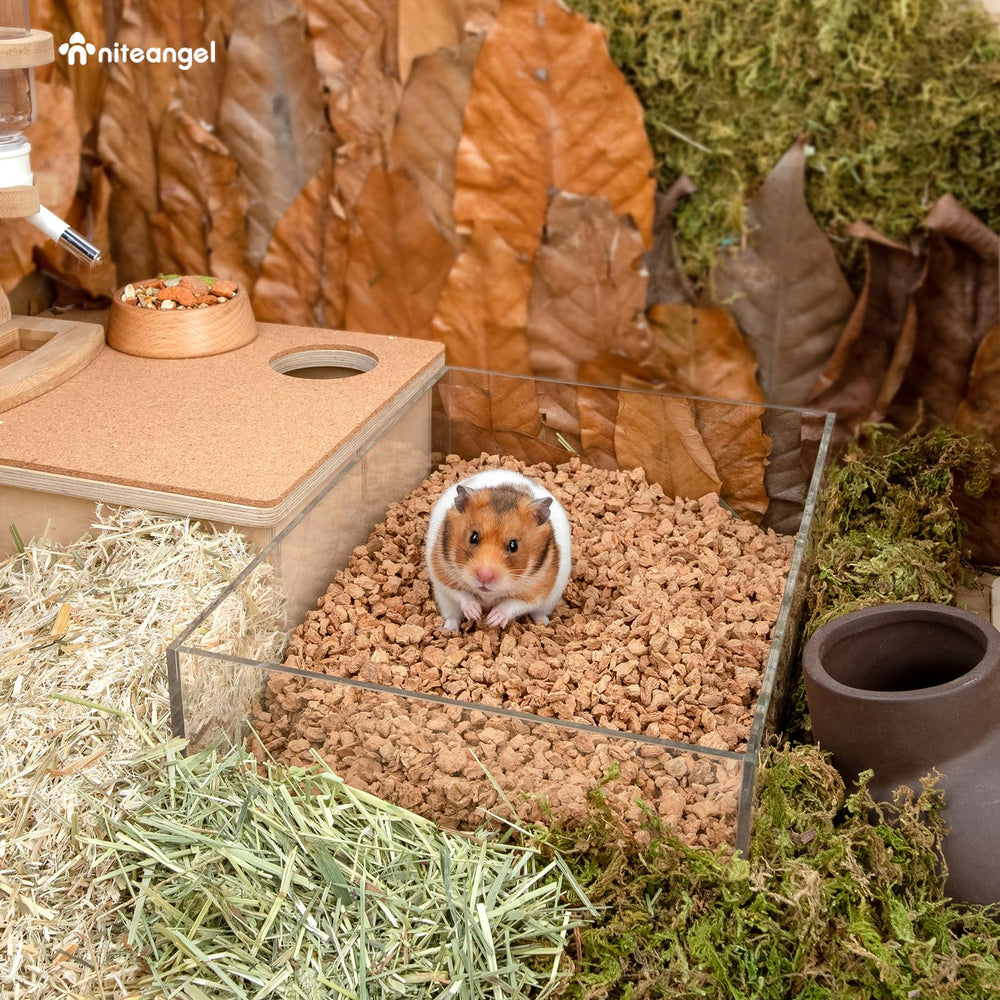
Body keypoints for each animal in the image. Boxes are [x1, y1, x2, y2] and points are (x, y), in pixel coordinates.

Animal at [425, 469, 572, 631]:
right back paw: (449, 630)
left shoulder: (537, 591)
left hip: (548, 602)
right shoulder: (442, 575)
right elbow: (461, 594)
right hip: (445, 602)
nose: (484, 576)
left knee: (539, 613)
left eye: (514, 545)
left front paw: (492, 620)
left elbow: (513, 604)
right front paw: (475, 613)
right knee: (452, 616)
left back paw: (544, 624)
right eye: (473, 537)